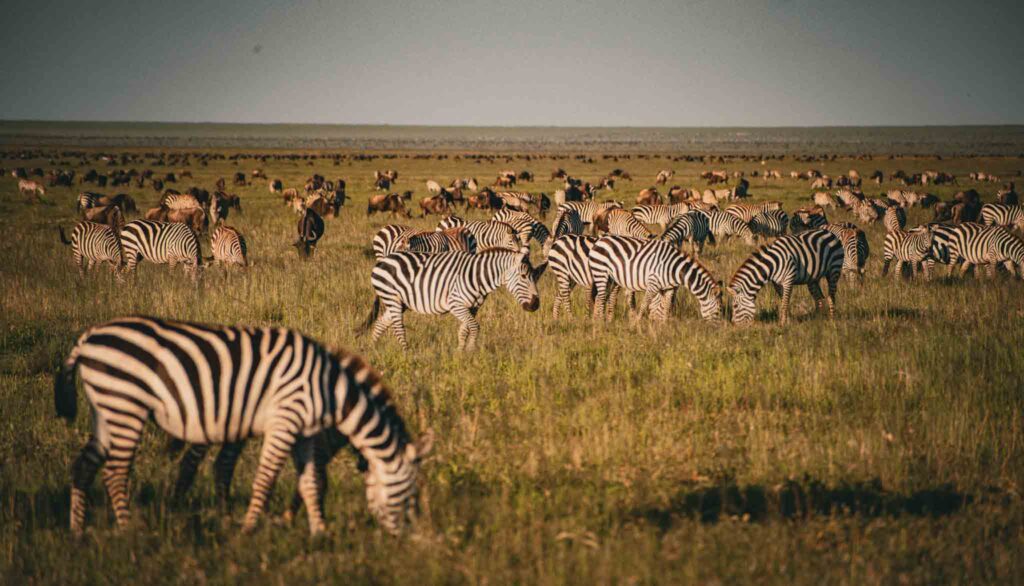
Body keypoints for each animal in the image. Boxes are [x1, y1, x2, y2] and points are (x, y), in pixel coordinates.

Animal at [56, 315, 432, 536]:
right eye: (410, 492)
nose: (404, 537)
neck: (329, 389)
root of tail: (88, 337)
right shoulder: (286, 420)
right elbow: (265, 478)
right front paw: (250, 528)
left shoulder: (305, 431)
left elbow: (310, 481)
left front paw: (320, 532)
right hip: (126, 404)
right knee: (115, 472)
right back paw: (129, 530)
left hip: (106, 409)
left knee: (84, 465)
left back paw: (77, 532)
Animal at [364, 249, 548, 350]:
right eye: (523, 276)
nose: (535, 305)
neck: (478, 276)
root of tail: (382, 261)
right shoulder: (455, 304)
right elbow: (474, 327)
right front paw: (471, 350)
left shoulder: (472, 307)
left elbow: (464, 330)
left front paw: (460, 353)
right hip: (392, 298)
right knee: (398, 328)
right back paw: (407, 353)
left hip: (399, 303)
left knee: (380, 324)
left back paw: (373, 350)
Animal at [589, 235, 724, 323]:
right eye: (718, 311)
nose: (716, 331)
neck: (674, 268)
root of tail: (600, 240)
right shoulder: (653, 284)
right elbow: (645, 305)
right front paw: (636, 324)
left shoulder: (669, 288)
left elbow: (666, 306)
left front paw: (663, 327)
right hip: (601, 273)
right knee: (601, 298)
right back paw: (600, 323)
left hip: (611, 279)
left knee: (600, 297)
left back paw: (597, 321)